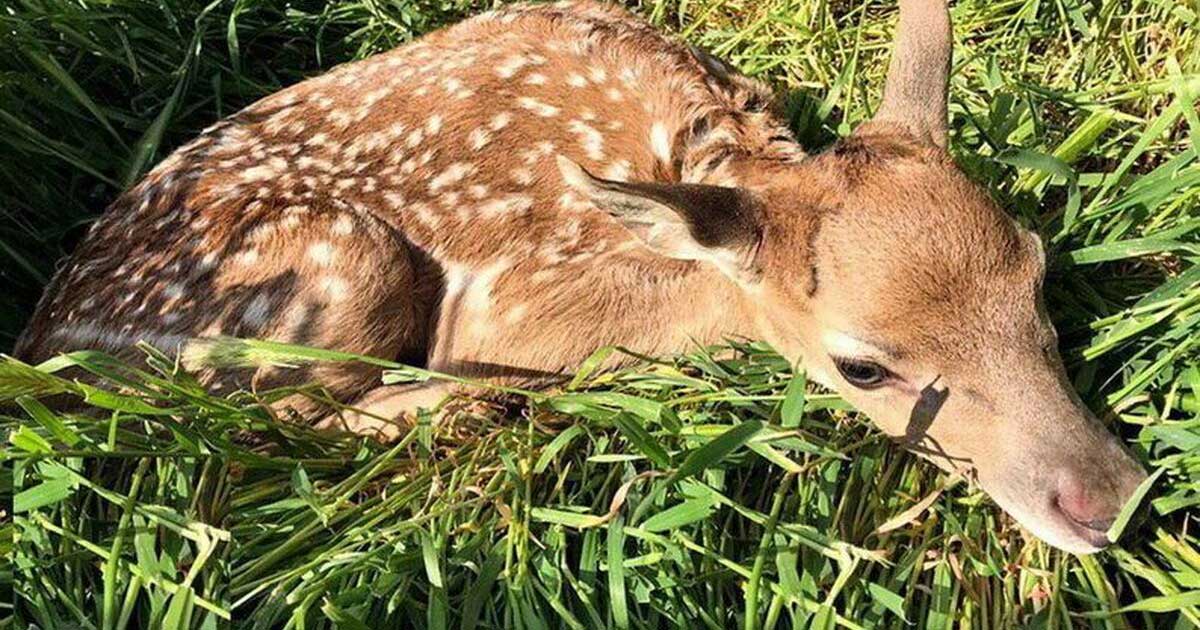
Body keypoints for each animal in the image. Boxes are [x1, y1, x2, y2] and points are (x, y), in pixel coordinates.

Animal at [14, 0, 1147, 549]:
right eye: (861, 367)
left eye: (1038, 272)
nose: (1112, 499)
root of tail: (44, 352)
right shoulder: (511, 298)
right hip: (336, 262)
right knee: (269, 424)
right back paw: (469, 409)